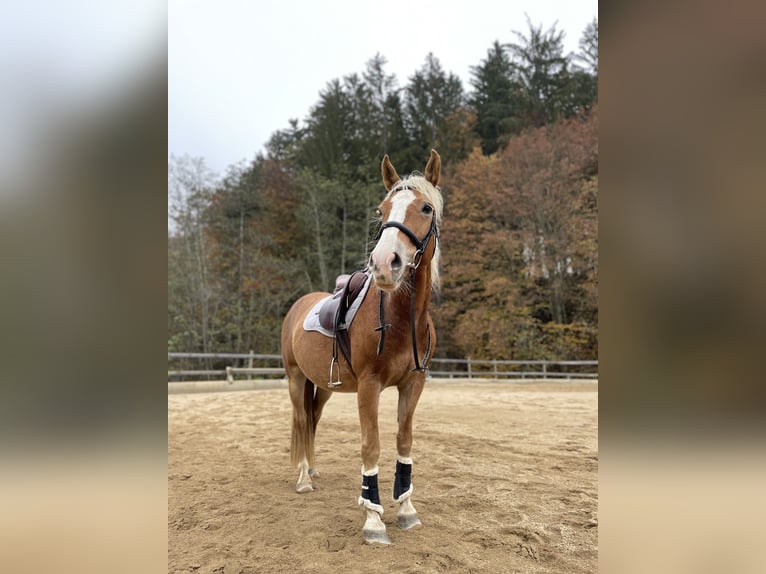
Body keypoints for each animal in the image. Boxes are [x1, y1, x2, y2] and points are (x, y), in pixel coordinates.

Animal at [280, 151, 444, 548]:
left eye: (426, 207)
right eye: (381, 210)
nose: (385, 264)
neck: (402, 318)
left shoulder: (413, 385)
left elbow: (404, 442)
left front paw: (406, 510)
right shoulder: (369, 386)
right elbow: (371, 446)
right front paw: (373, 520)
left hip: (322, 386)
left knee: (312, 420)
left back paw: (313, 469)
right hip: (295, 378)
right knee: (301, 420)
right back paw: (304, 478)